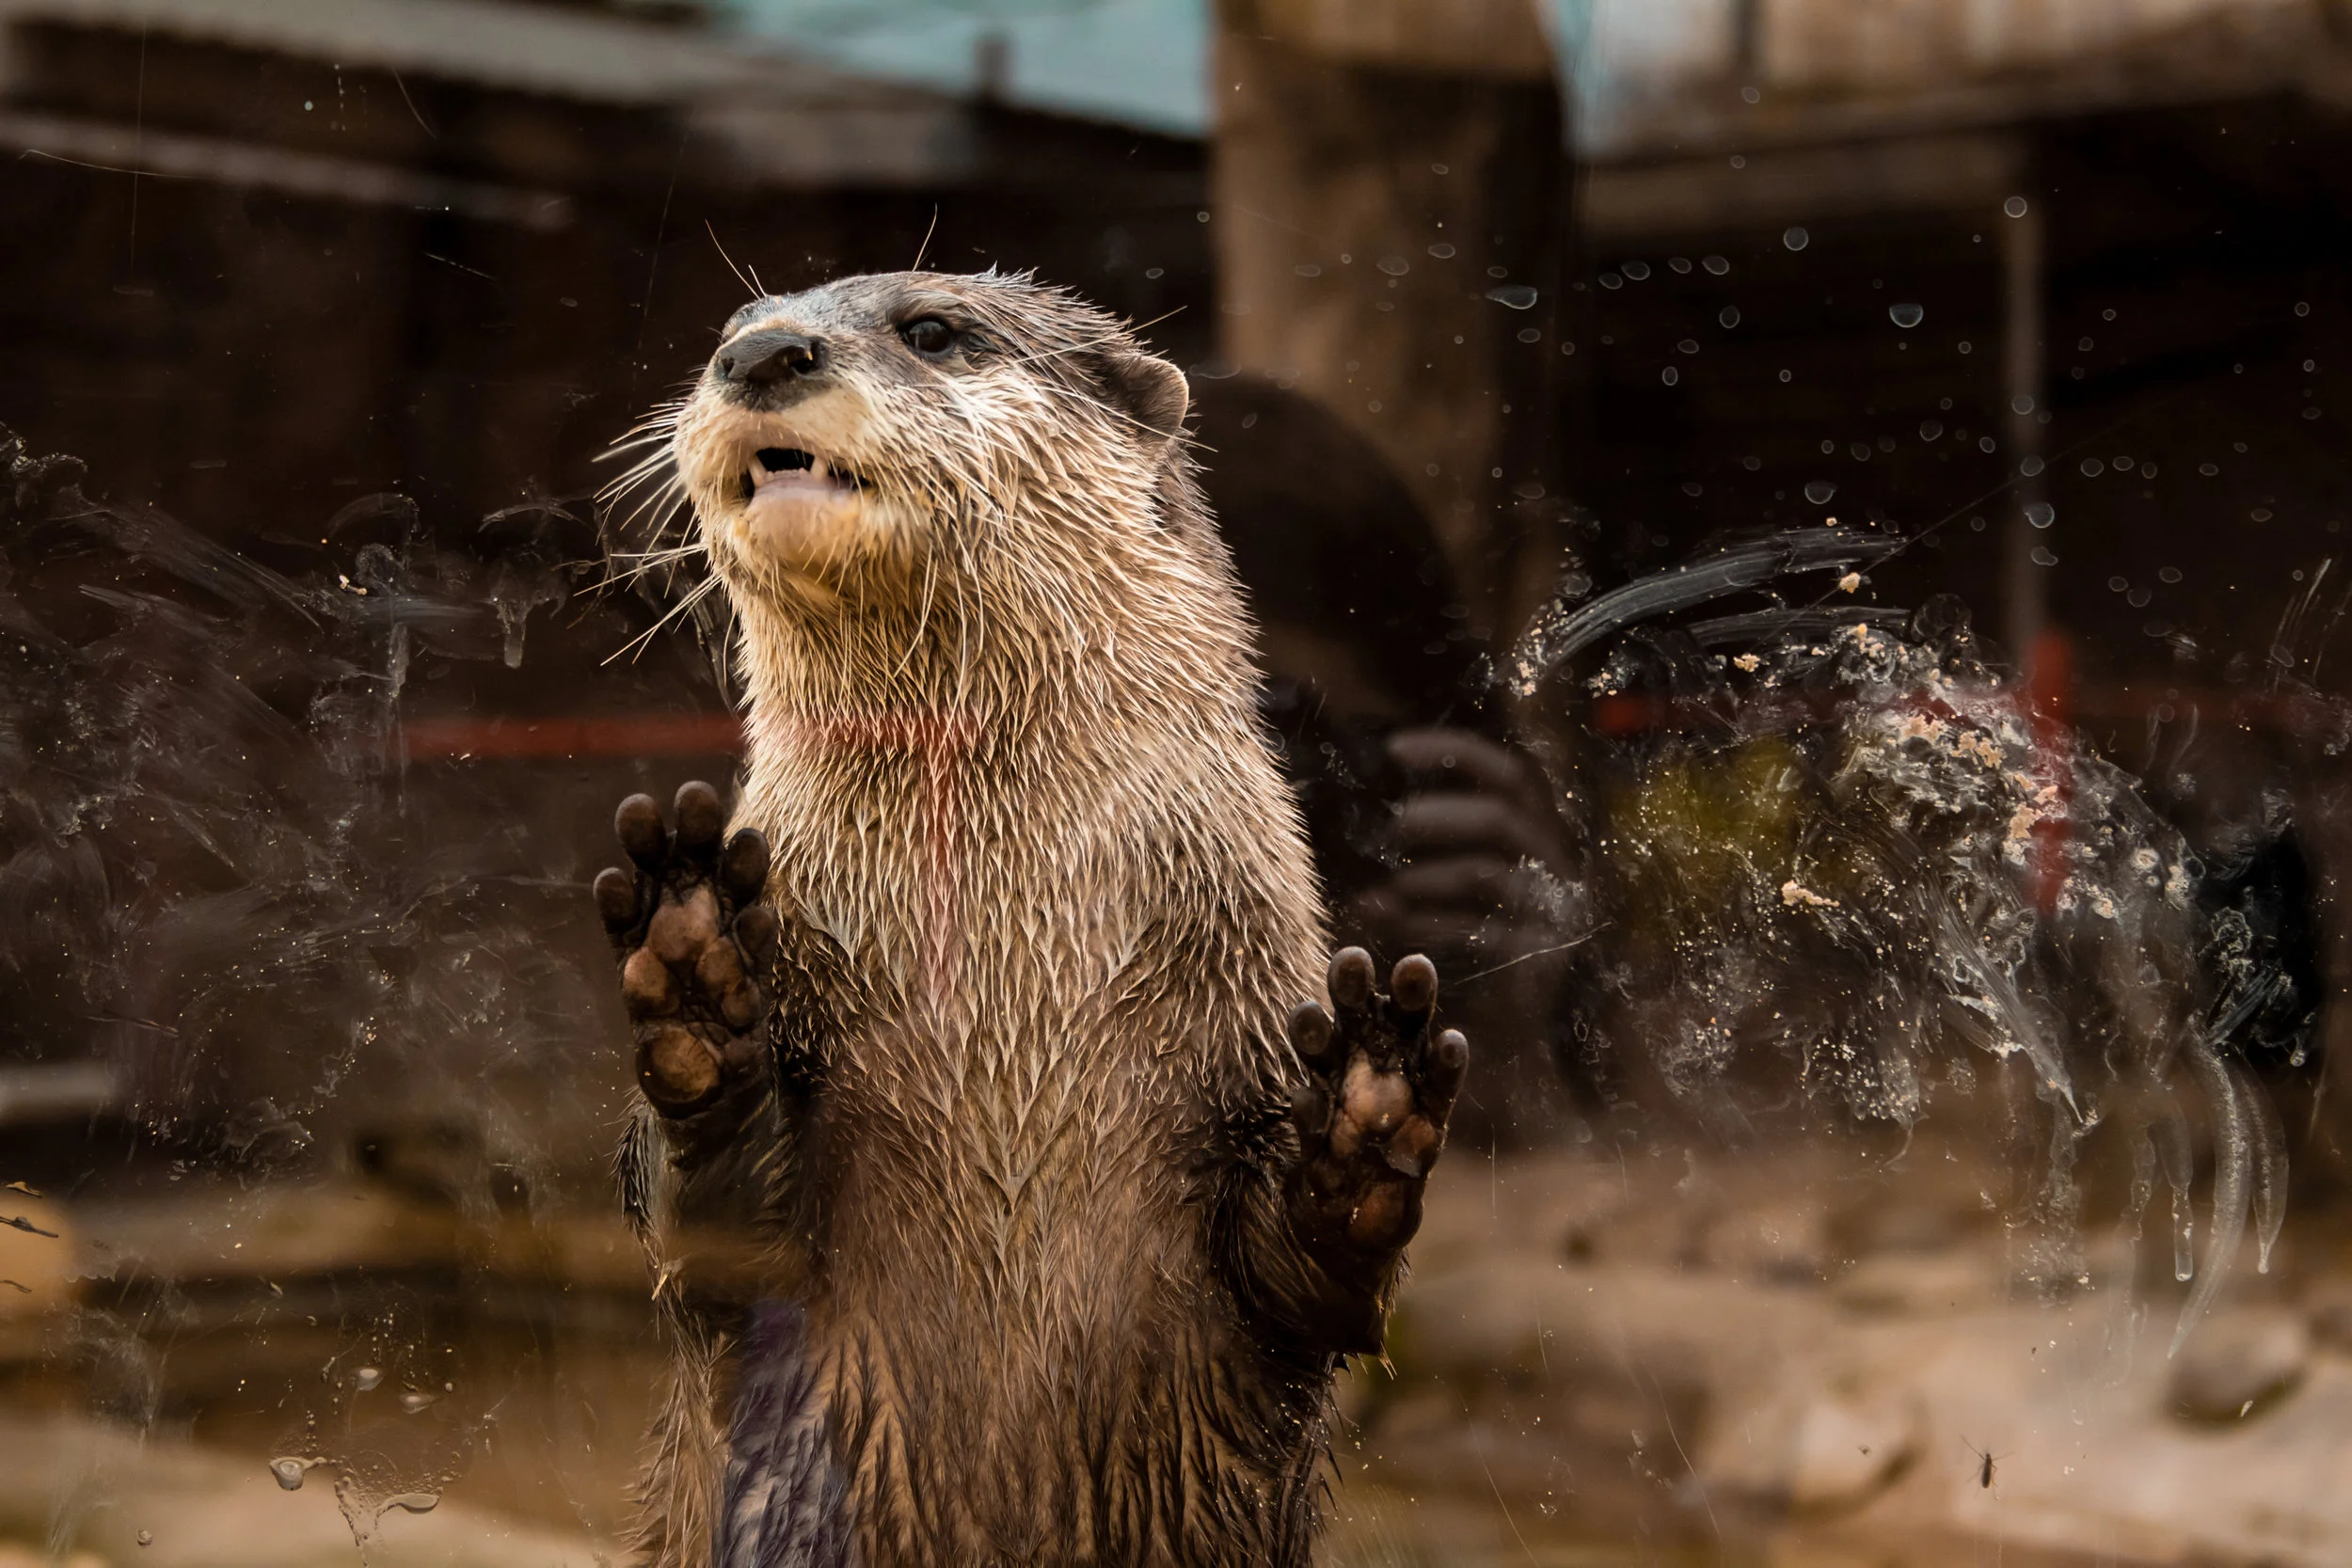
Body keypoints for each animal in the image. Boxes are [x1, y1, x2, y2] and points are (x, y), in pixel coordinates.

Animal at [591, 270, 1469, 1568]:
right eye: (724, 337)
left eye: (931, 330)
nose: (763, 353)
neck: (995, 990)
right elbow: (713, 1227)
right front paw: (697, 977)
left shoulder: (1262, 983)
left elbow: (1305, 1285)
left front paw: (1364, 1118)